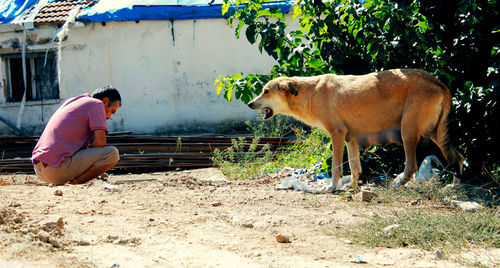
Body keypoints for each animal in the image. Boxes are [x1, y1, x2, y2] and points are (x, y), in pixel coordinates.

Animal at [248, 68, 462, 192]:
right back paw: (455, 184)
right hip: (435, 134)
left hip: (408, 132)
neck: (309, 92)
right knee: (458, 157)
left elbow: (336, 167)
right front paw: (352, 186)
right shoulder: (350, 139)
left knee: (412, 166)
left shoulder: (337, 134)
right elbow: (354, 167)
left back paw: (397, 184)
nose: (250, 104)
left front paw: (332, 187)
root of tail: (438, 82)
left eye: (266, 91)